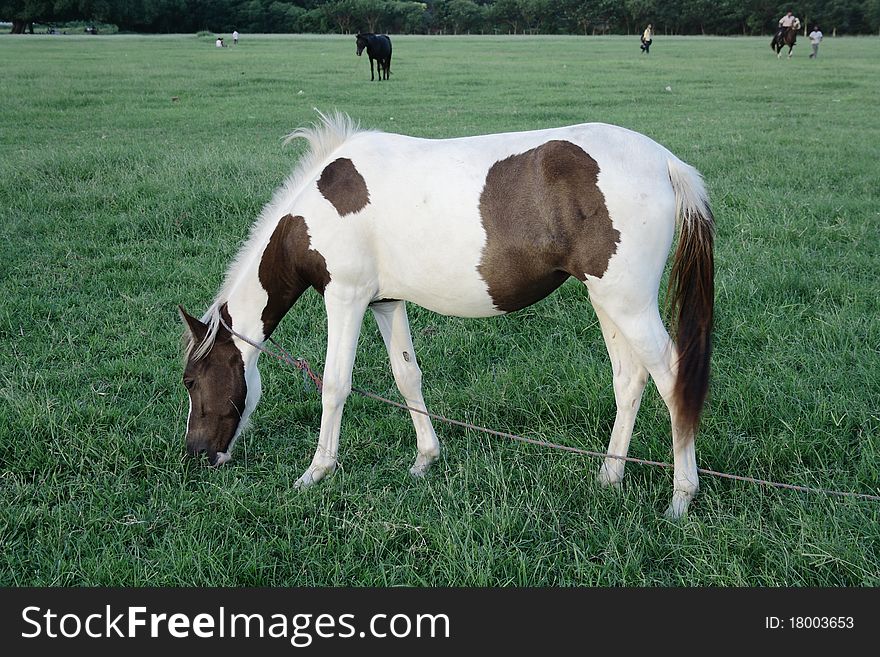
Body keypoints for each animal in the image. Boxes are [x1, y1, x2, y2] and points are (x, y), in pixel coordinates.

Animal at [179, 110, 716, 516]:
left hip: (629, 304)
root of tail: (666, 163)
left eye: (190, 380)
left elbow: (335, 385)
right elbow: (406, 377)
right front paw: (425, 459)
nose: (195, 454)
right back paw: (609, 475)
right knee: (629, 380)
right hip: (607, 301)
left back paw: (680, 498)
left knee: (672, 380)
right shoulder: (385, 303)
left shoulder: (345, 298)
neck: (316, 210)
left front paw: (316, 472)